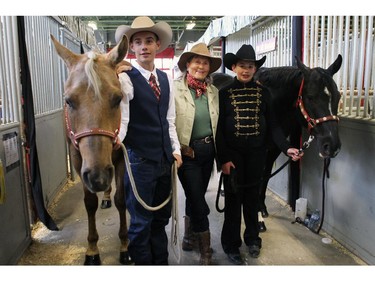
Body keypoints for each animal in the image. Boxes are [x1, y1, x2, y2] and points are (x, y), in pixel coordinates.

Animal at [50, 34, 132, 264]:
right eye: (68, 101)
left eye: (118, 98)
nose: (98, 176)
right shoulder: (79, 161)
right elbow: (89, 203)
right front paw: (92, 249)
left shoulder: (119, 159)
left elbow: (121, 199)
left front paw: (124, 245)